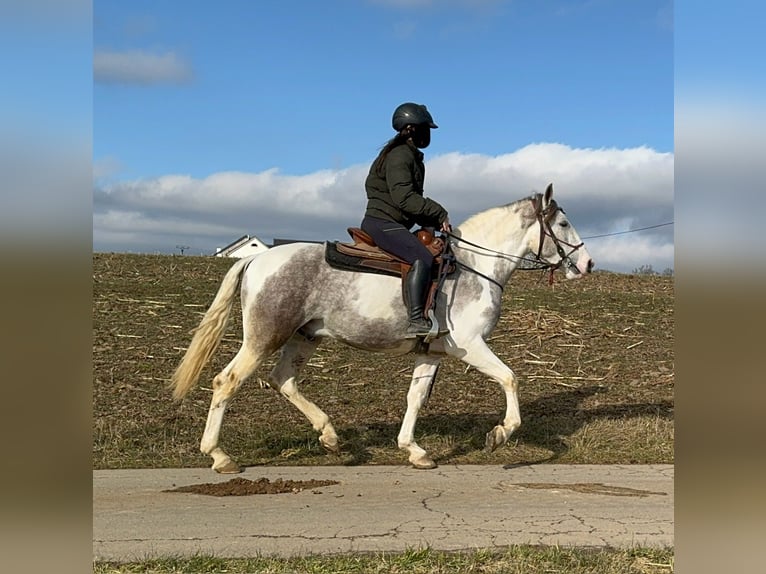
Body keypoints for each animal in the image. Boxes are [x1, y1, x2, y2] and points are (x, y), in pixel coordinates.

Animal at [171, 183, 596, 472]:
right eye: (562, 222)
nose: (588, 264)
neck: (476, 266)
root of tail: (257, 260)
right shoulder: (471, 346)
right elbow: (510, 379)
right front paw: (501, 433)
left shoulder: (433, 354)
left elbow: (416, 399)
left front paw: (414, 450)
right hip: (264, 338)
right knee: (227, 381)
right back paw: (220, 456)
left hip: (304, 338)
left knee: (283, 380)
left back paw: (330, 435)